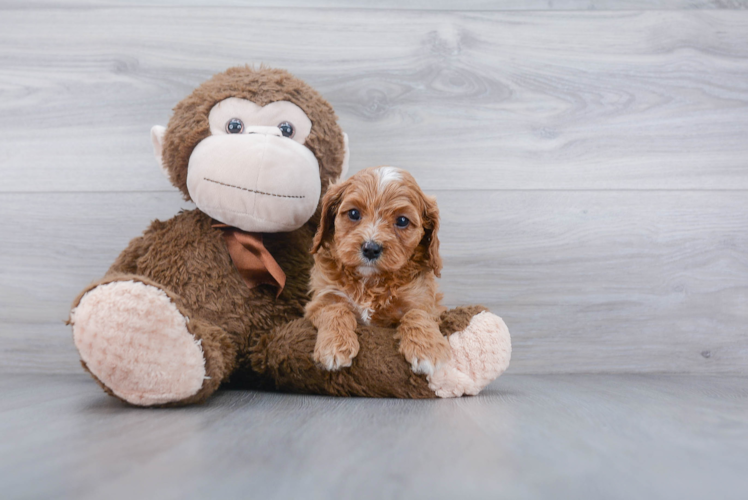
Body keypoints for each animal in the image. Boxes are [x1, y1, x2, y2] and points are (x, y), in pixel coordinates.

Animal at [306, 166, 450, 374]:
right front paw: (334, 347)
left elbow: (417, 314)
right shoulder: (323, 298)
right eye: (354, 213)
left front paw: (427, 350)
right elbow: (335, 310)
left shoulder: (422, 300)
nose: (371, 248)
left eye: (402, 220)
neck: (369, 281)